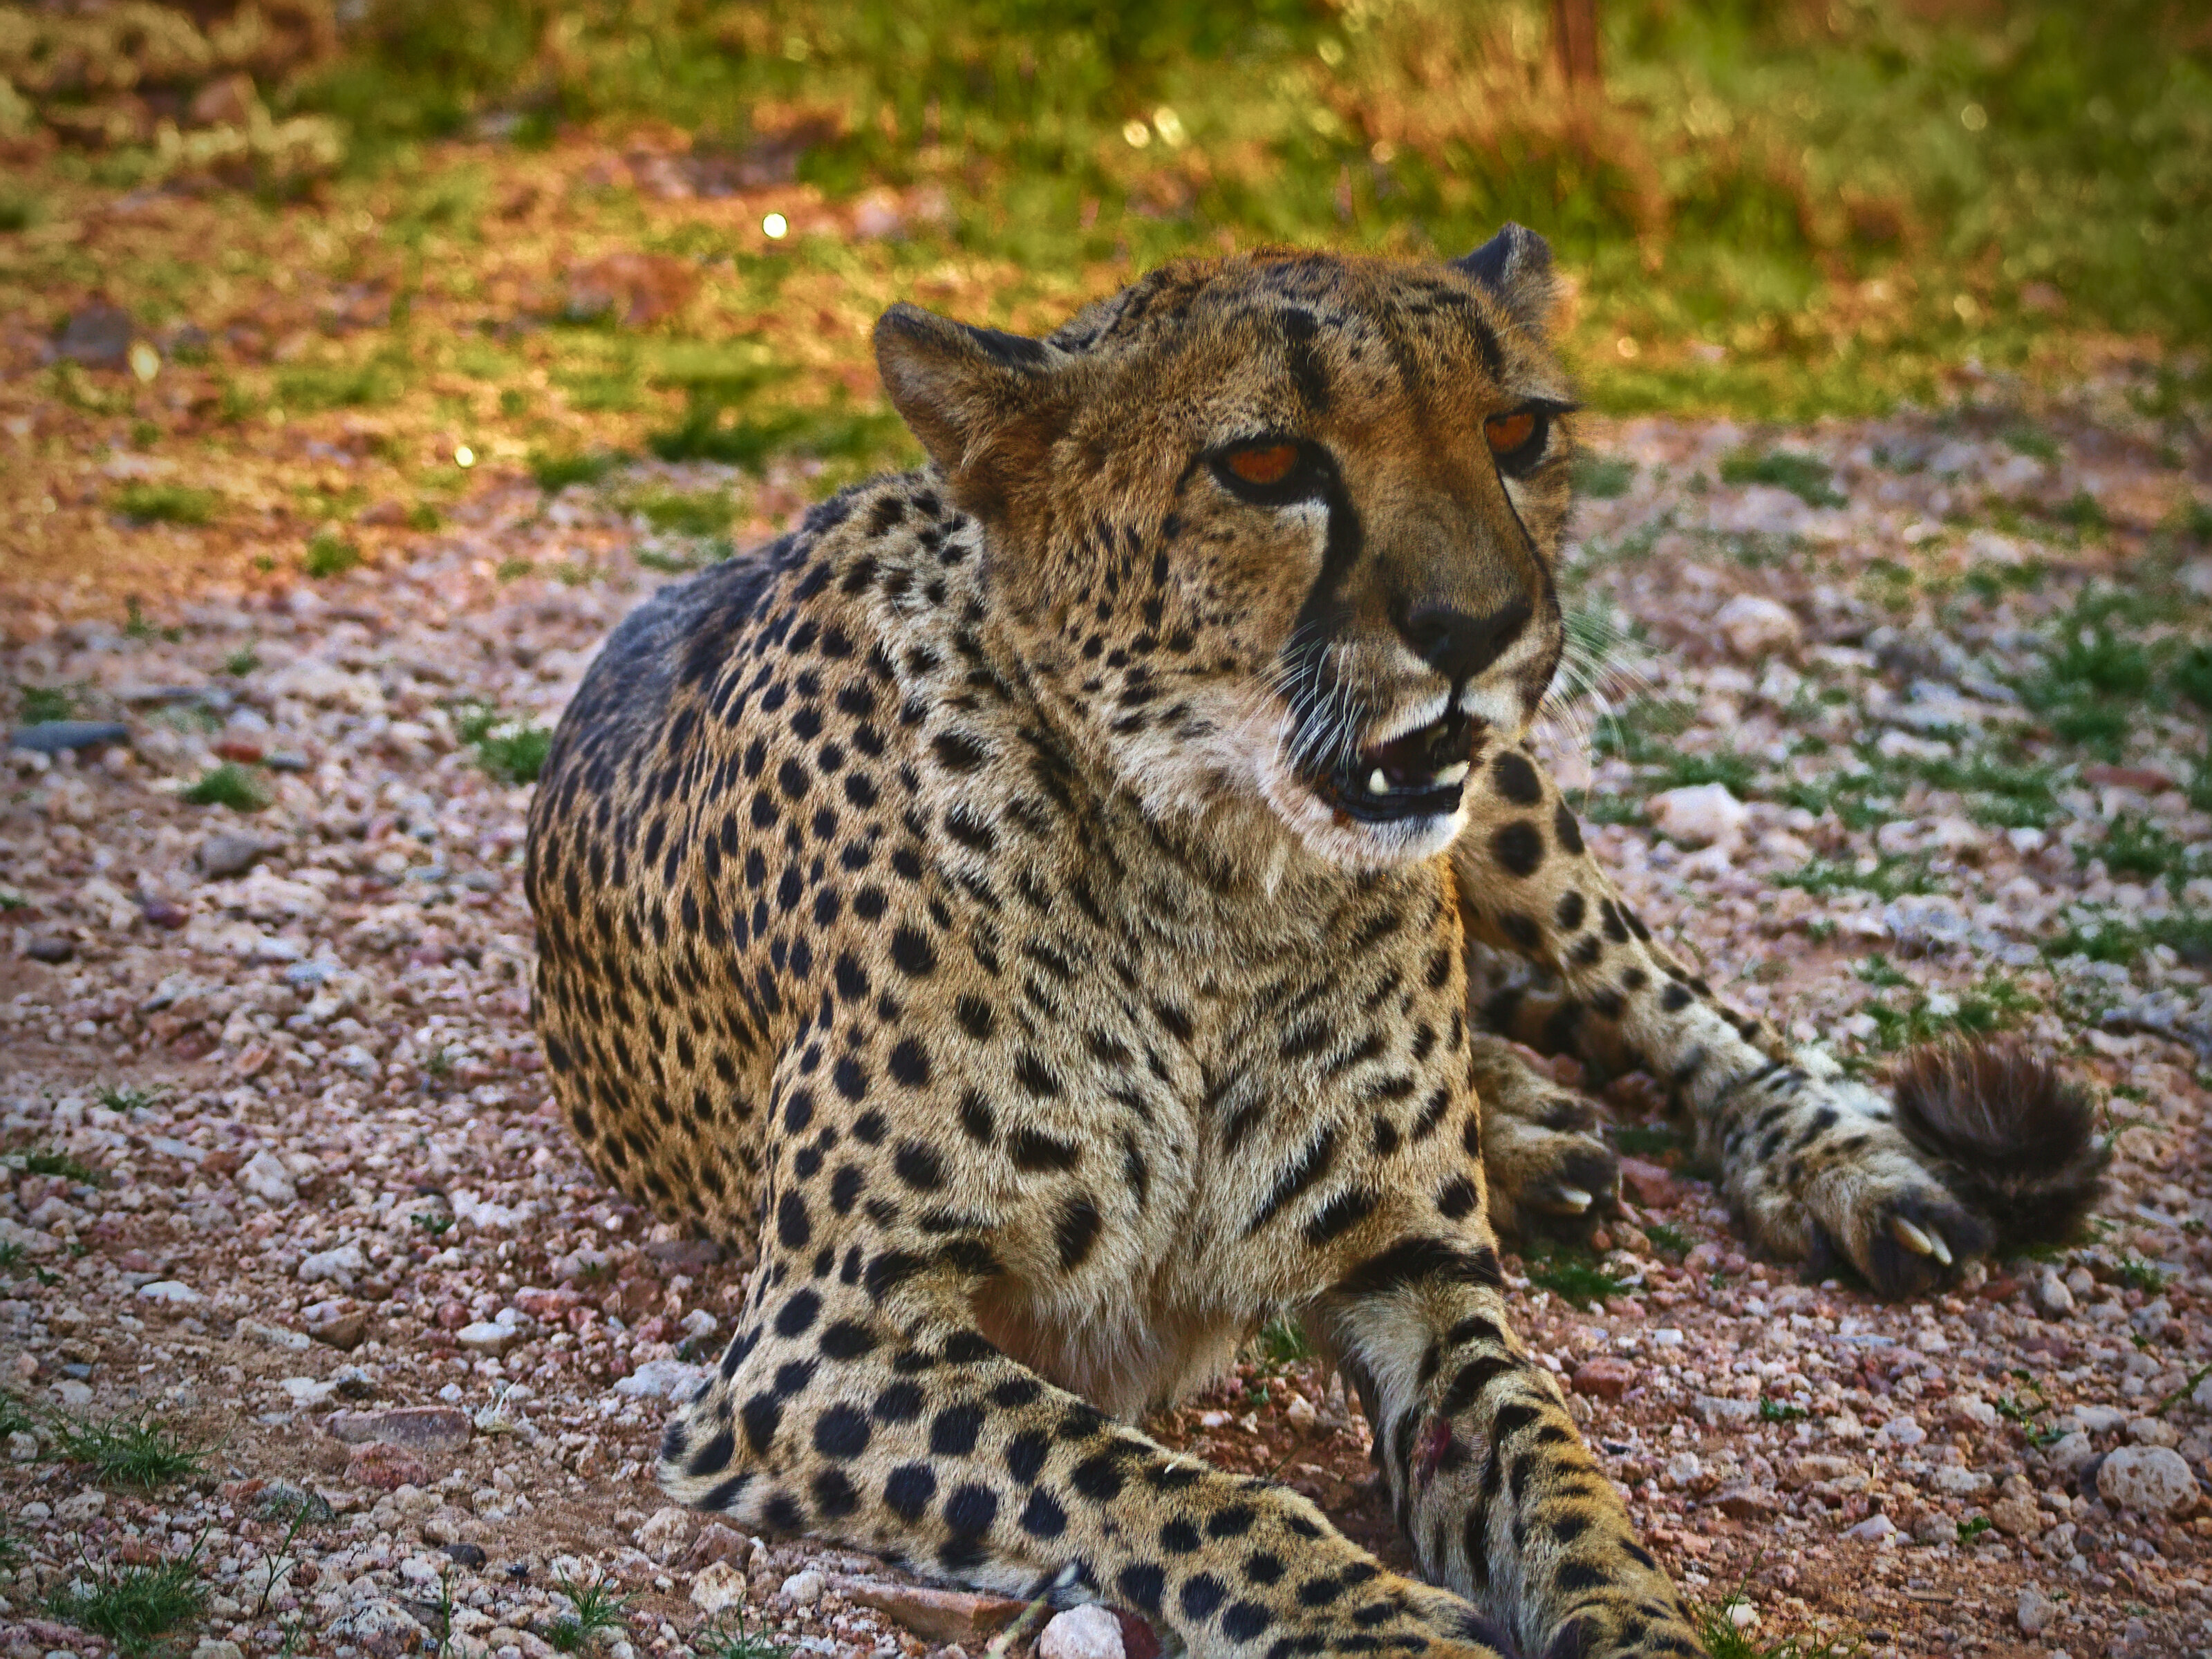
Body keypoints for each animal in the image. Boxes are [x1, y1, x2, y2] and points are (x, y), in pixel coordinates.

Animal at [523, 225, 2104, 1659]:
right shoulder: (822, 1344)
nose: (1480, 625)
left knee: (1687, 1004)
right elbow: (1169, 1492)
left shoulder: (1425, 1278)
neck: (1217, 886)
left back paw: (1835, 1169)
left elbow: (1570, 1497)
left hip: (1511, 801)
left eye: (1518, 432)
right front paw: (1386, 1628)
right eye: (1268, 465)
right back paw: (1536, 1134)